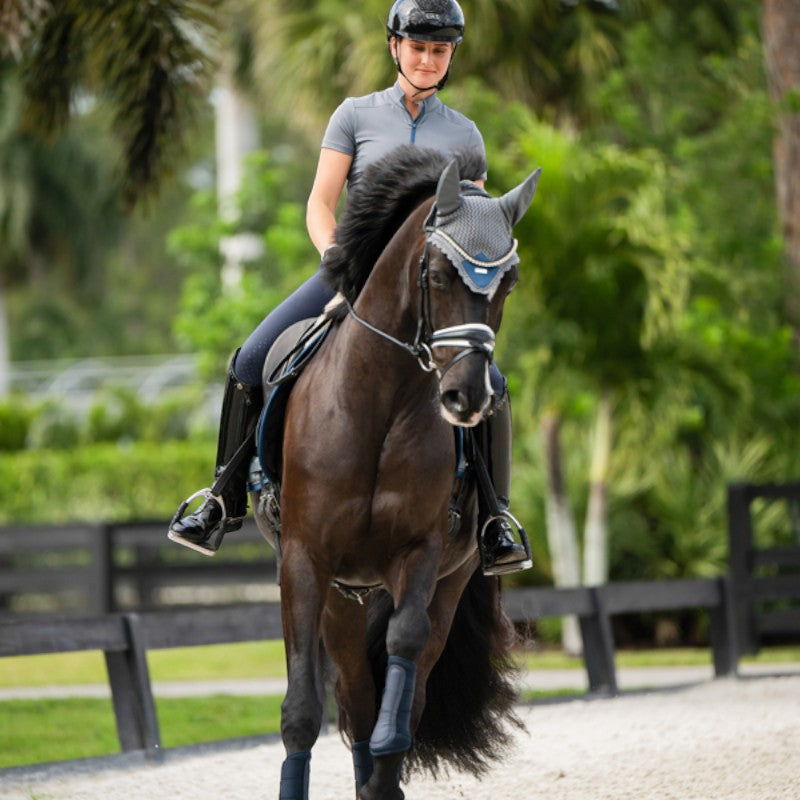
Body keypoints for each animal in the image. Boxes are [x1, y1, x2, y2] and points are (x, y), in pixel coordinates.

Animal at [253, 145, 540, 800]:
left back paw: (383, 771)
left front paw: (390, 754)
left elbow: (404, 651)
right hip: (342, 597)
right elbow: (302, 707)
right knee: (356, 695)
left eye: (508, 282)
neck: (379, 404)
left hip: (447, 582)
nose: (467, 397)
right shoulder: (304, 559)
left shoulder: (422, 551)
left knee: (404, 687)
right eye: (435, 274)